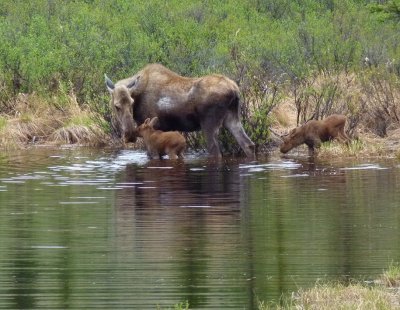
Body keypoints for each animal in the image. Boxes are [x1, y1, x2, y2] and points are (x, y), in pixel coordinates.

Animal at [104, 63, 255, 157]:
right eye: (117, 106)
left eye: (131, 102)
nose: (129, 135)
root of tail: (235, 90)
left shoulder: (154, 128)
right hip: (232, 118)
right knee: (248, 144)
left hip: (209, 124)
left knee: (216, 152)